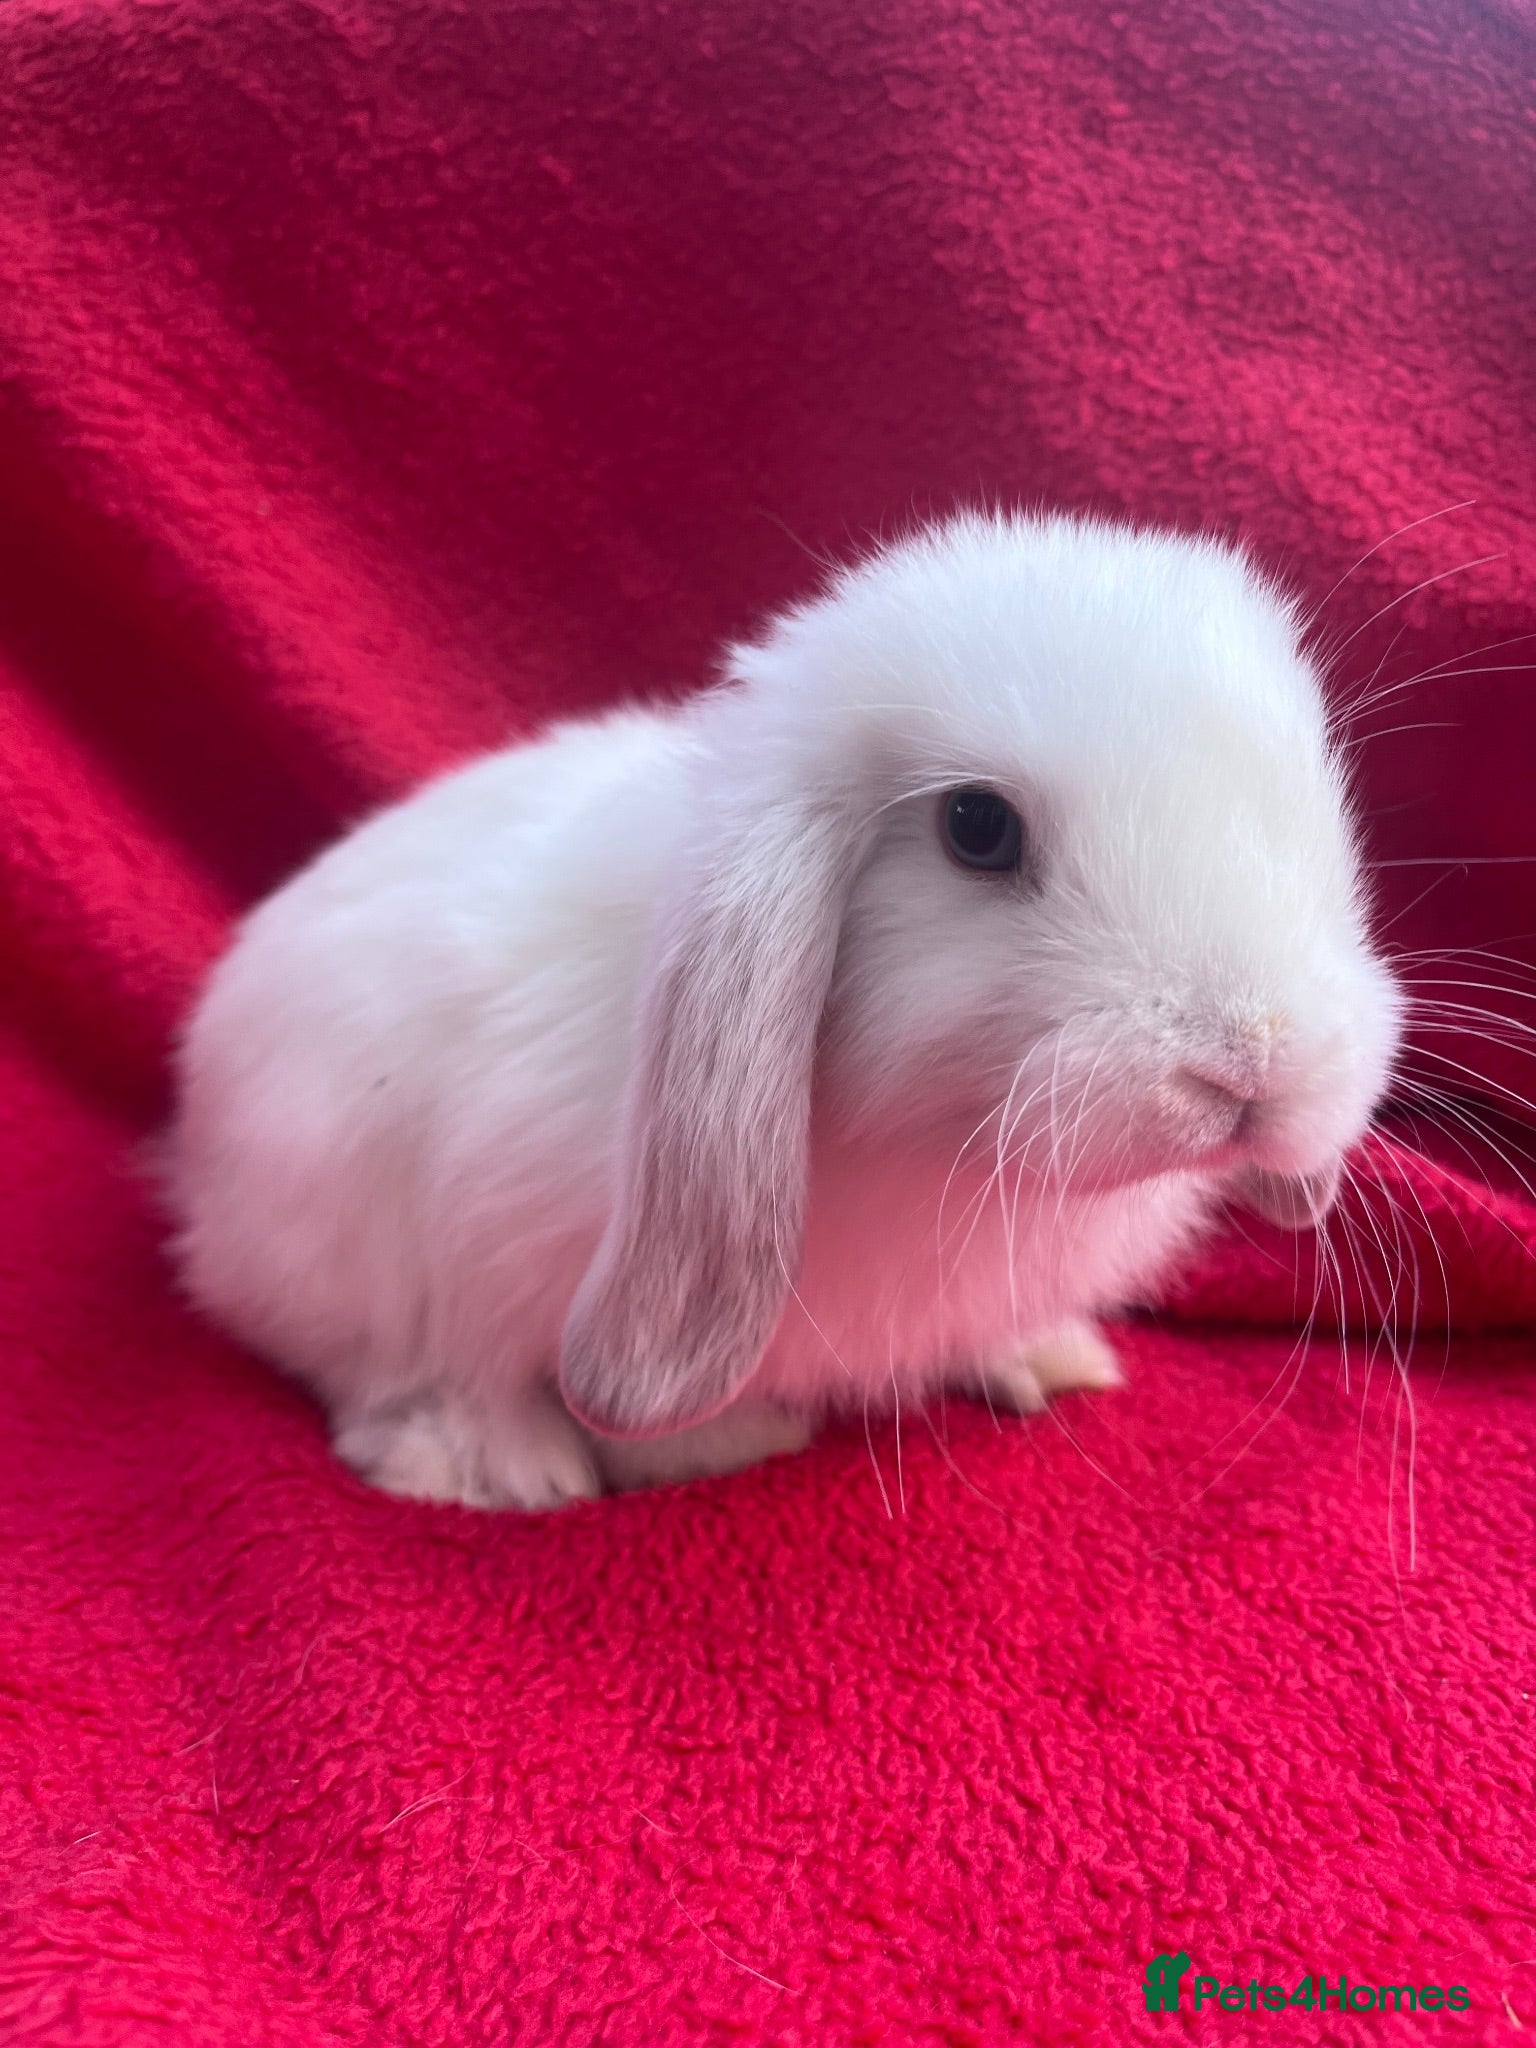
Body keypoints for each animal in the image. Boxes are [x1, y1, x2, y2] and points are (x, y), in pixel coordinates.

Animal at [165, 511, 1403, 1511]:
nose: (1256, 1062)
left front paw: (1050, 1358)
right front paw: (710, 1441)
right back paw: (498, 1466)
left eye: (1316, 795)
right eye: (977, 828)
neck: (938, 1152)